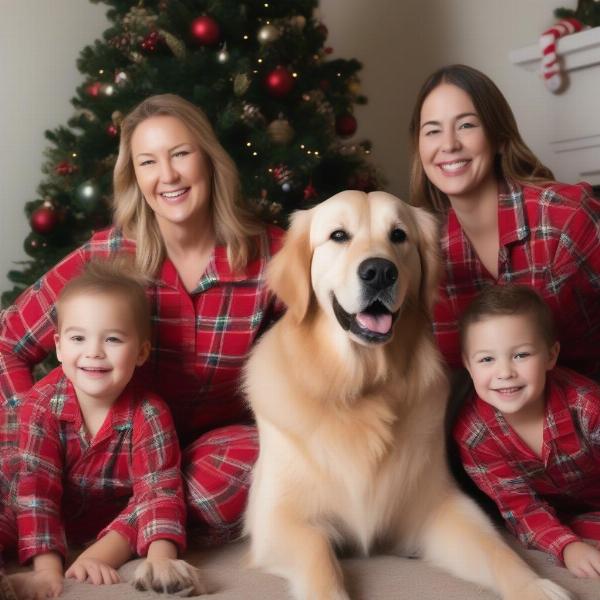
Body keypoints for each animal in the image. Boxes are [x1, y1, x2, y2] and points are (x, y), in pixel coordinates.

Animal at [244, 191, 572, 600]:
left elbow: (497, 550)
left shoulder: (439, 506)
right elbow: (319, 556)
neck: (364, 388)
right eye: (338, 236)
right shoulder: (278, 521)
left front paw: (536, 586)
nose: (380, 272)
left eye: (399, 235)